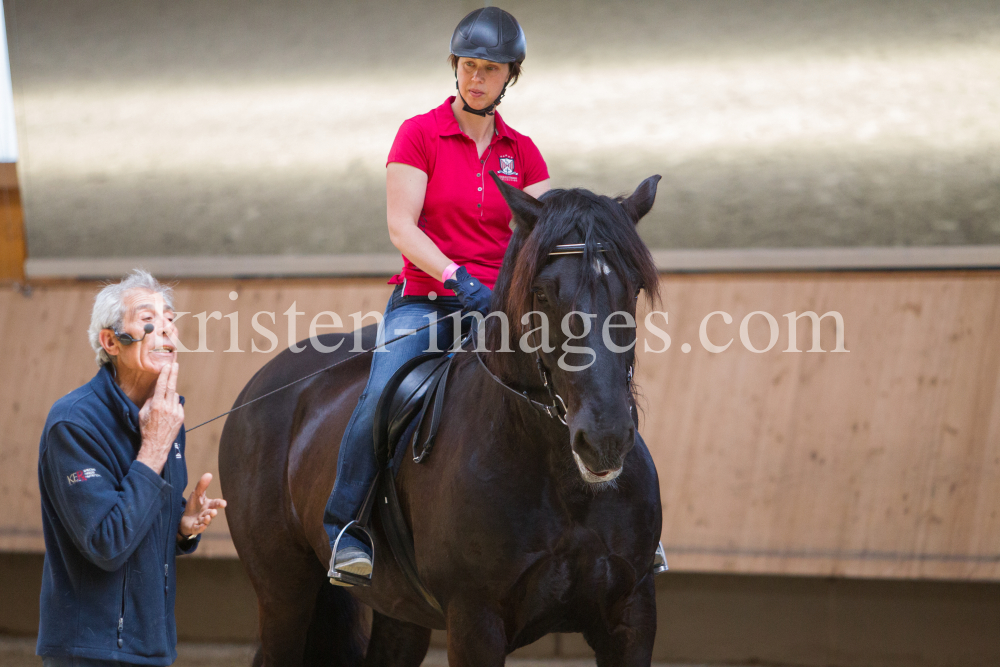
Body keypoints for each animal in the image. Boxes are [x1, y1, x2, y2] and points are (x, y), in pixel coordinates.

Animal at [222, 175, 668, 664]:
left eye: (633, 289)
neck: (564, 483)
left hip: (400, 611)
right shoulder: (475, 620)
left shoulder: (631, 616)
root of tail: (259, 385)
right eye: (542, 293)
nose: (605, 439)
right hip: (283, 595)